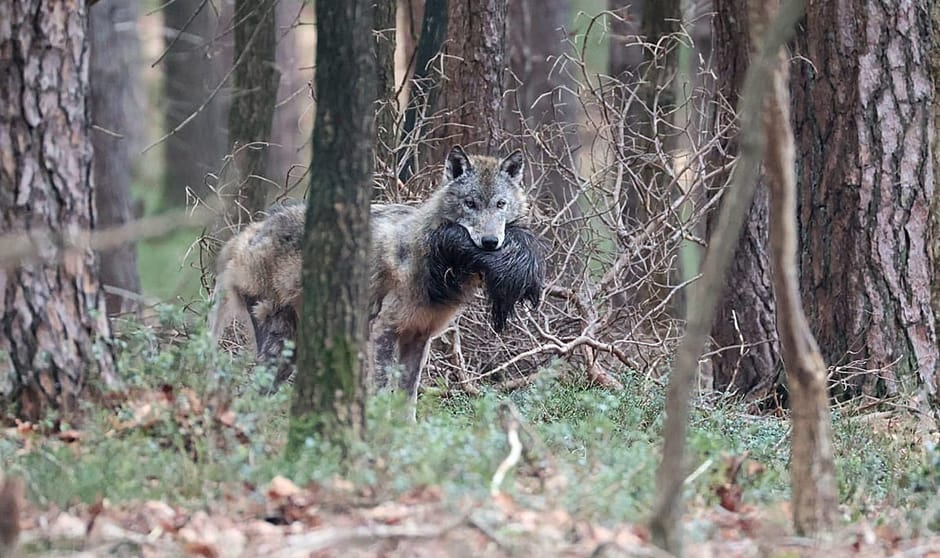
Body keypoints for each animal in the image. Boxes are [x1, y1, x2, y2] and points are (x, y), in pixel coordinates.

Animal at [209, 145, 544, 409]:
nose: (490, 243)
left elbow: (408, 399)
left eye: (500, 204)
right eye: (470, 204)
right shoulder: (384, 330)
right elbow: (383, 390)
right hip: (281, 347)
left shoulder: (419, 337)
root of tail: (246, 235)